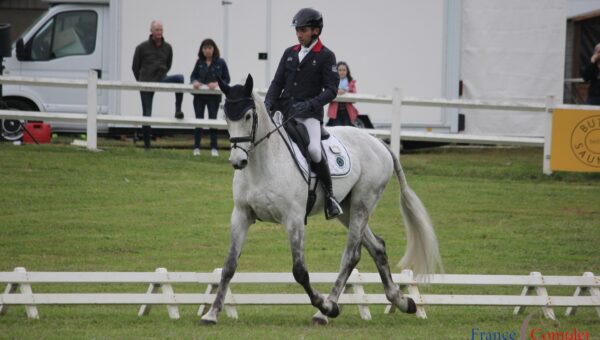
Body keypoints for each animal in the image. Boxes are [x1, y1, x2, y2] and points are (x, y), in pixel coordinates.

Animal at [202, 74, 440, 324]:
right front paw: (211, 313)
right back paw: (402, 301)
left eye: (248, 116)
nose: (237, 161)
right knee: (377, 247)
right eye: (226, 117)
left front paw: (324, 304)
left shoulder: (294, 219)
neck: (262, 164)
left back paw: (326, 310)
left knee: (351, 255)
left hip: (362, 204)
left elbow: (299, 271)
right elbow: (229, 266)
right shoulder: (241, 215)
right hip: (346, 209)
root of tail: (378, 142)